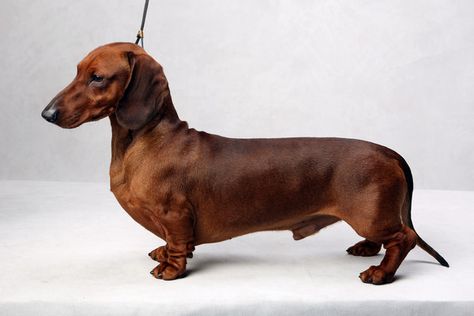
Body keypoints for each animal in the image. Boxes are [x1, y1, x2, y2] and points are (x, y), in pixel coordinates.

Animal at [41, 42, 448, 284]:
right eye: (77, 71)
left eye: (97, 78)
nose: (47, 114)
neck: (142, 142)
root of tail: (388, 151)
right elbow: (175, 241)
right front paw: (164, 252)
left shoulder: (175, 214)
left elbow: (177, 244)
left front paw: (170, 267)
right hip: (372, 214)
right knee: (390, 238)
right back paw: (366, 249)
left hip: (370, 214)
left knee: (405, 238)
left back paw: (379, 272)